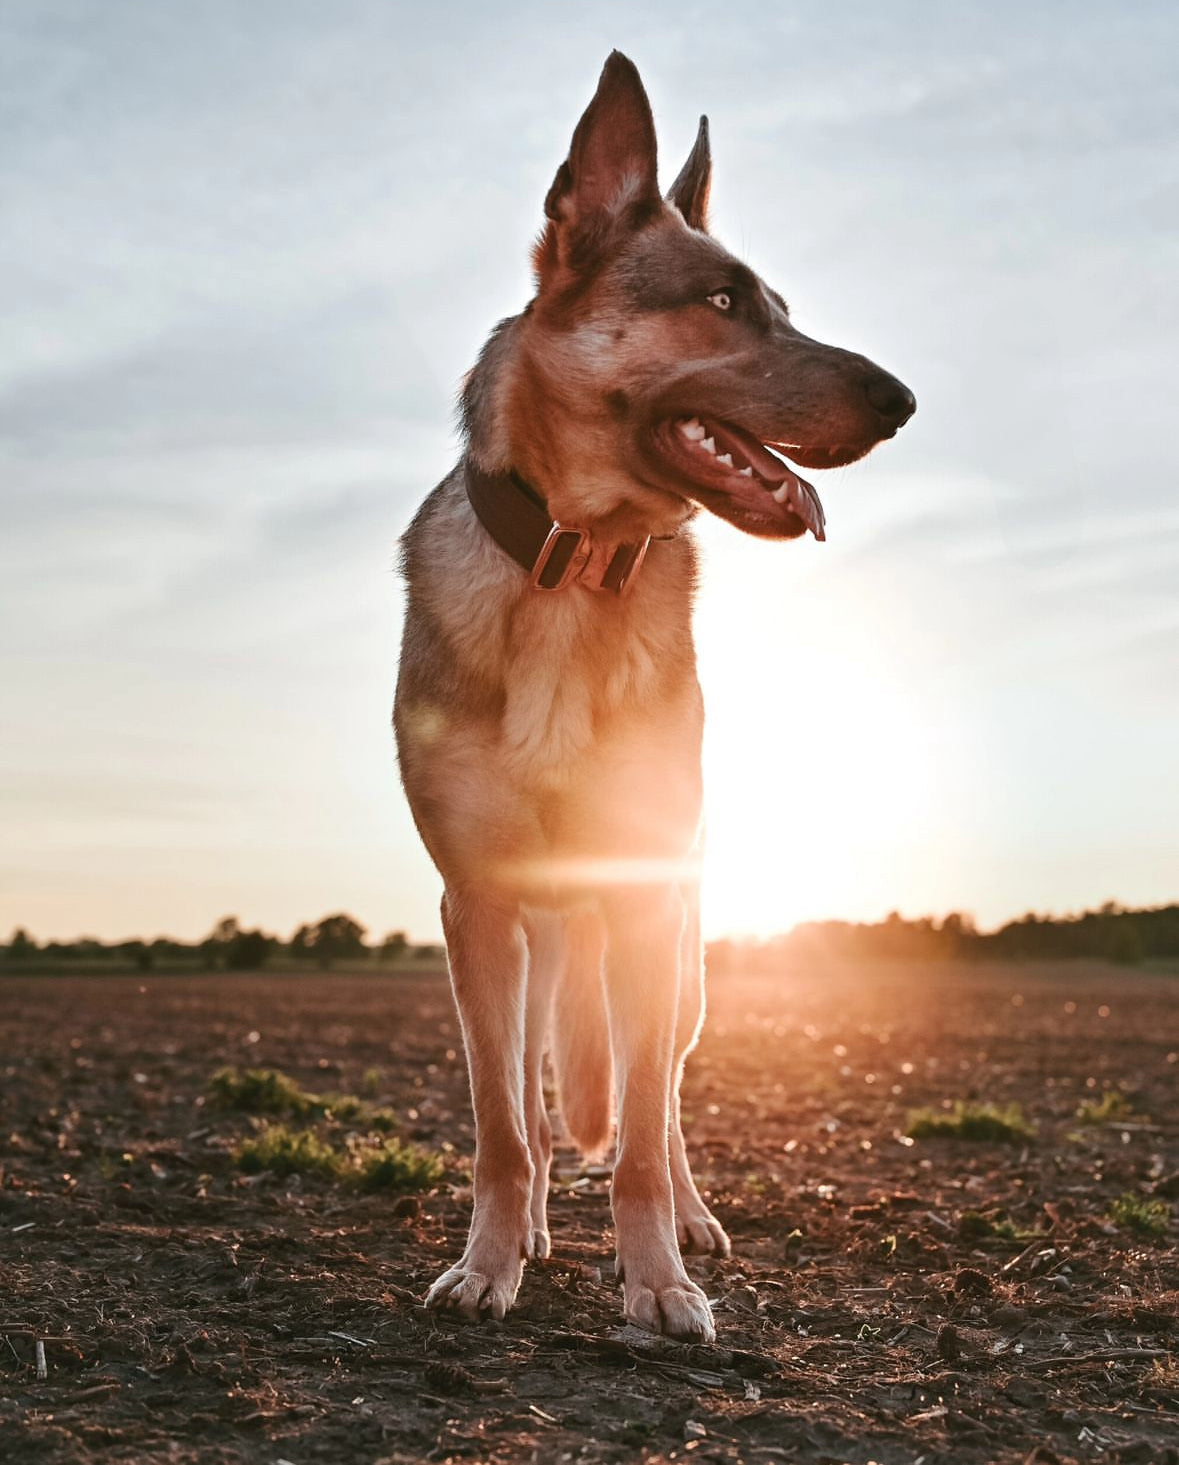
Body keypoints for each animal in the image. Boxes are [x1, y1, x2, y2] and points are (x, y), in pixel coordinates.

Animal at [395, 54, 908, 1341]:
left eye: (780, 305)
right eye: (722, 302)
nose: (903, 400)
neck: (575, 570)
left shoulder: (640, 905)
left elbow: (634, 1134)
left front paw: (659, 1281)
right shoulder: (477, 908)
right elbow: (503, 1127)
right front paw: (491, 1261)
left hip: (681, 956)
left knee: (661, 1096)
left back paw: (687, 1220)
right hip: (531, 954)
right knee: (535, 1099)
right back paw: (532, 1228)